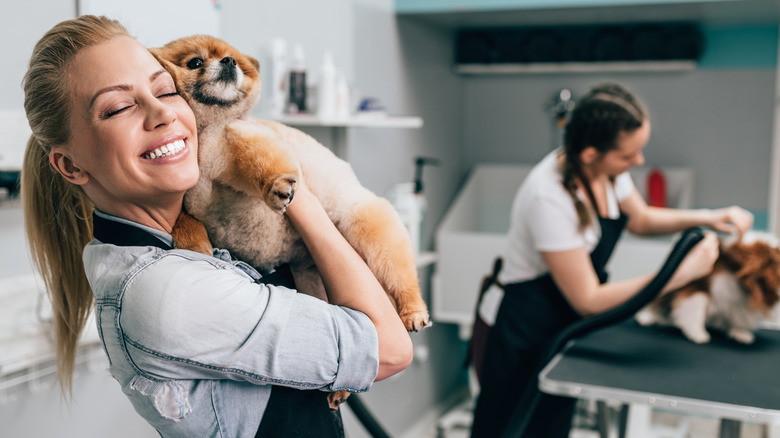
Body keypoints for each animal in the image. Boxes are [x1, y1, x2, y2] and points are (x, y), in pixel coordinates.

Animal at [636, 234, 780, 344]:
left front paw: (740, 332)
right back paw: (647, 317)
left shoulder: (738, 302)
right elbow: (697, 309)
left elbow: (737, 315)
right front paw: (698, 333)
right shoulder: (697, 286)